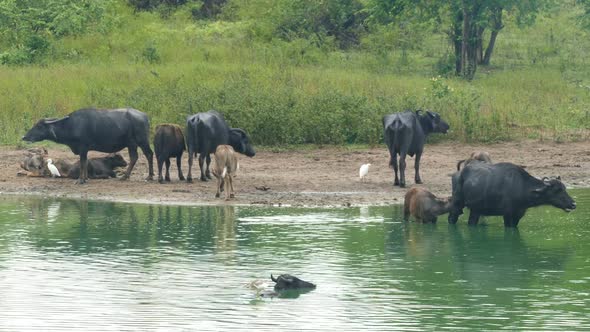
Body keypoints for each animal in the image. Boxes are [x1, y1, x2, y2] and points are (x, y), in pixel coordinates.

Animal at [22, 107, 155, 184]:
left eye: (39, 126)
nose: (24, 137)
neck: (72, 125)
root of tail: (145, 116)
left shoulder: (83, 147)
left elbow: (82, 163)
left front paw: (80, 180)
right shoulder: (84, 150)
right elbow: (85, 163)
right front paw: (85, 178)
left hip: (142, 141)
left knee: (148, 154)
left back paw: (148, 176)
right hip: (131, 144)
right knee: (134, 157)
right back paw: (126, 176)